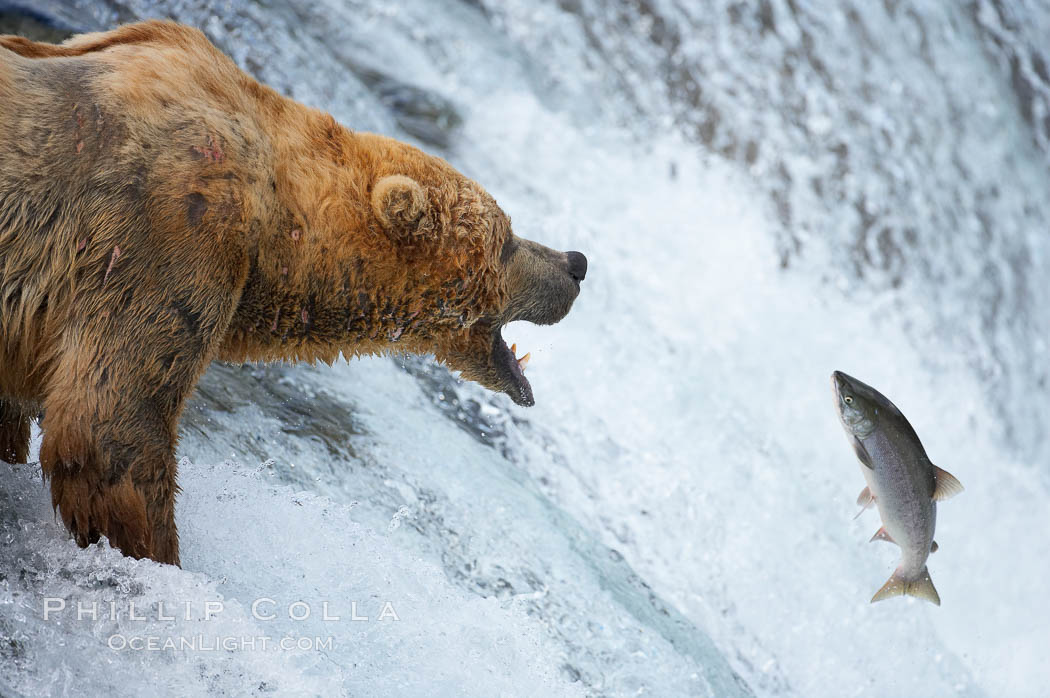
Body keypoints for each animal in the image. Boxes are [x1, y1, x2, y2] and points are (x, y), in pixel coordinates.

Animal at [0, 20, 588, 566]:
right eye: (506, 241)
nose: (575, 264)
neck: (278, 232)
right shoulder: (165, 234)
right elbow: (110, 426)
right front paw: (159, 558)